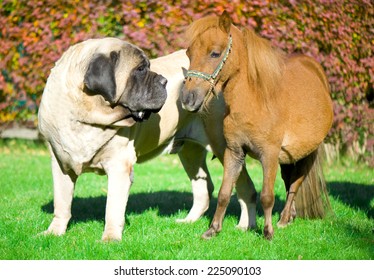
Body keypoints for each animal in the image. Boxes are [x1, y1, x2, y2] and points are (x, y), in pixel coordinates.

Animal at [38, 38, 254, 242]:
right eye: (140, 69)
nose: (164, 81)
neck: (85, 116)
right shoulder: (61, 163)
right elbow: (61, 203)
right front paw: (54, 232)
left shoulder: (119, 166)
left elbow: (112, 207)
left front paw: (110, 238)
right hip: (190, 152)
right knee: (203, 185)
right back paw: (189, 221)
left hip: (225, 148)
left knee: (245, 188)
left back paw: (245, 226)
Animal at [181, 11, 334, 238]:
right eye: (189, 53)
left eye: (215, 53)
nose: (188, 99)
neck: (254, 102)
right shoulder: (234, 152)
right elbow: (225, 192)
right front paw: (213, 230)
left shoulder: (269, 154)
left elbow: (267, 196)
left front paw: (268, 232)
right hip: (289, 157)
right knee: (289, 180)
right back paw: (289, 217)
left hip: (308, 153)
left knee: (295, 183)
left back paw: (284, 220)